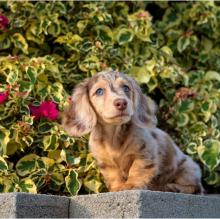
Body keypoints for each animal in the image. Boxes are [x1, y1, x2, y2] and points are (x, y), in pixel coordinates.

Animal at [62, 69, 203, 193]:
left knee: (195, 187)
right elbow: (114, 175)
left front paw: (131, 185)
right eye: (99, 91)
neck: (114, 135)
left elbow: (137, 170)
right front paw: (118, 187)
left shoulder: (145, 154)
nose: (121, 103)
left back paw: (172, 187)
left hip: (188, 168)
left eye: (126, 88)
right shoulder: (106, 163)